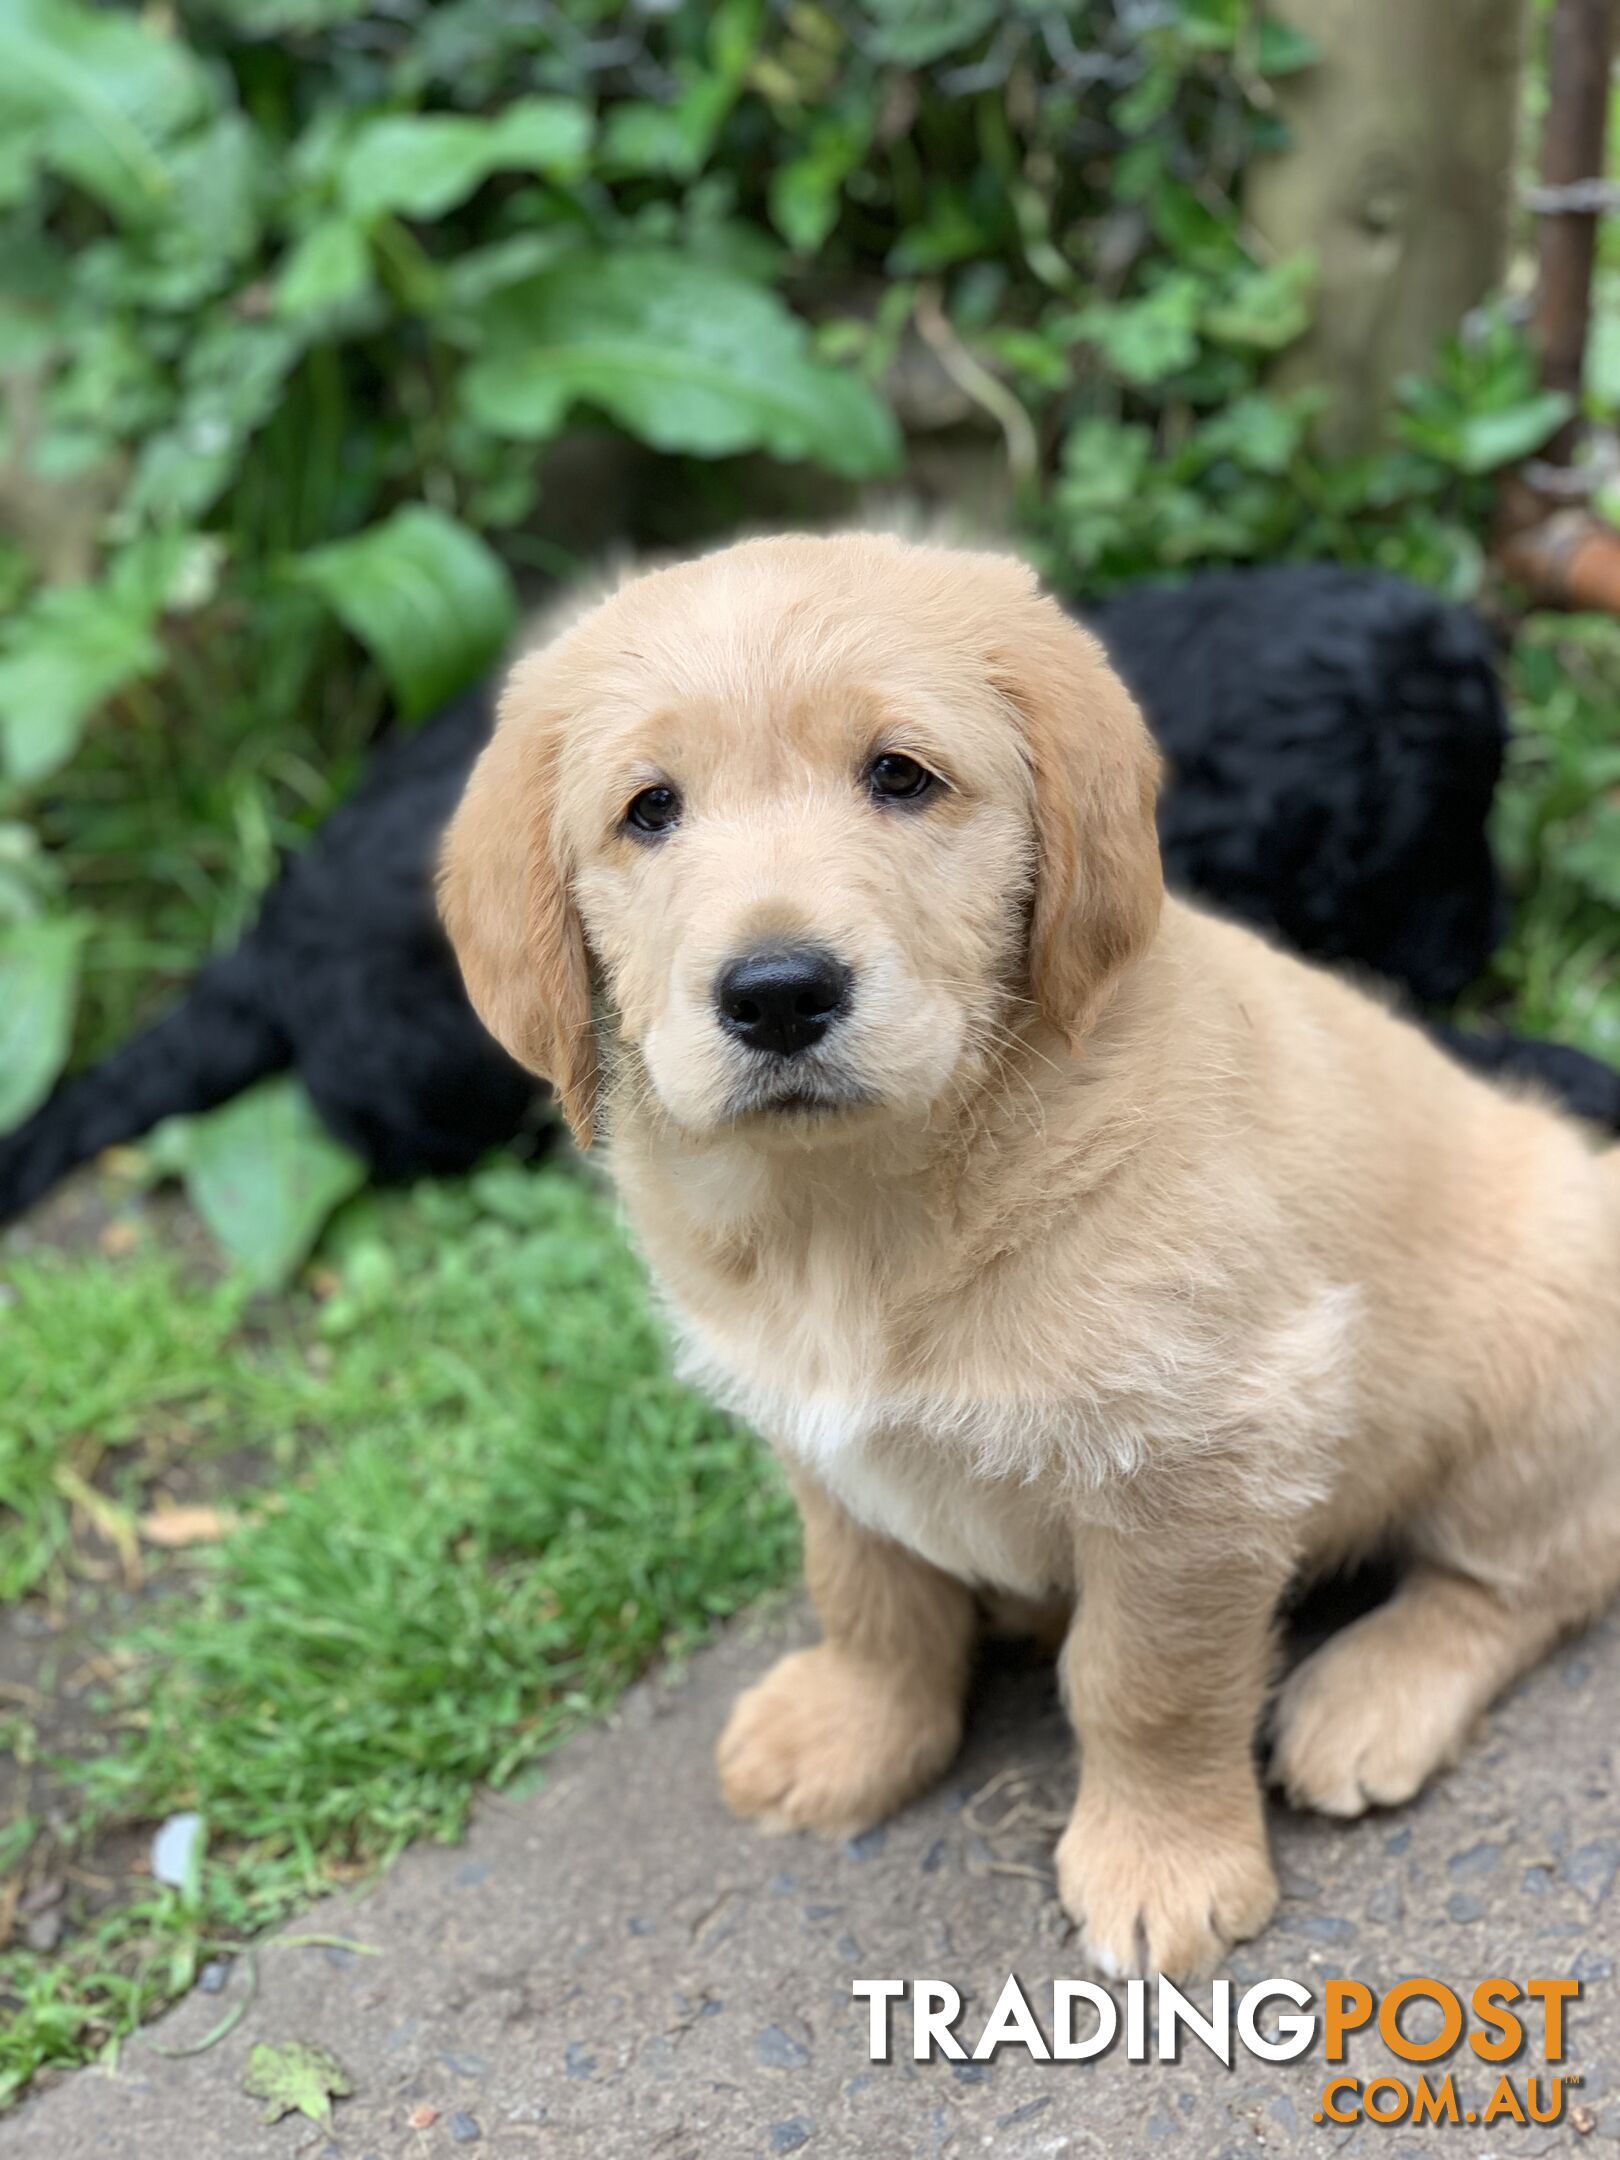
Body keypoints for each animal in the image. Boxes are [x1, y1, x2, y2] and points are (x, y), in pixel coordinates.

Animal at [438, 535, 1620, 1978]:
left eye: (901, 775)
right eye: (648, 811)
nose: (778, 994)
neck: (863, 1206)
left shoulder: (1199, 1462)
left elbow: (1143, 1684)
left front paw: (1163, 1865)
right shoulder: (816, 1437)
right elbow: (865, 1595)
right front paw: (856, 1731)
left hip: (1531, 1376)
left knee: (1528, 1576)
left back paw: (1370, 1696)